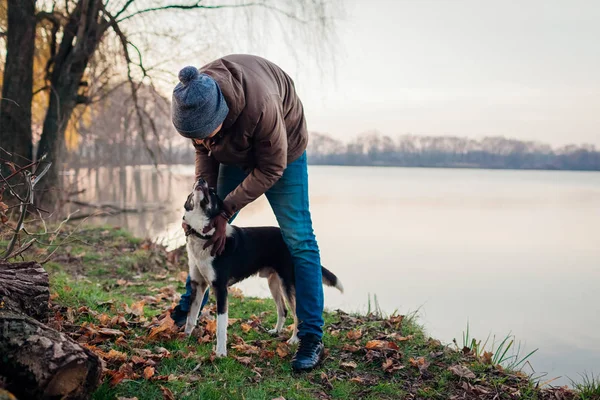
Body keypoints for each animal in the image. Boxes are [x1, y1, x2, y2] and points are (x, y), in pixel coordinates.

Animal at [182, 178, 342, 356]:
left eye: (212, 192)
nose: (201, 179)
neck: (203, 235)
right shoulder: (198, 284)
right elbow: (191, 316)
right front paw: (185, 338)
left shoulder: (221, 288)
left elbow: (221, 326)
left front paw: (221, 352)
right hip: (273, 282)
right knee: (283, 310)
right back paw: (276, 331)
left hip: (287, 283)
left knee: (297, 314)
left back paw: (294, 340)